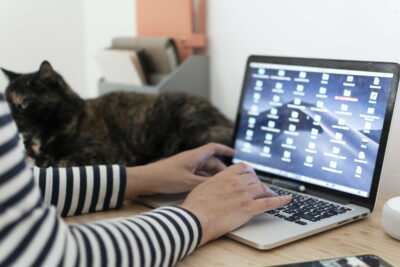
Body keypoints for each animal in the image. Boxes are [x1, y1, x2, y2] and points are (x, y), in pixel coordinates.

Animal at [1, 61, 233, 169]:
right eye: (6, 101)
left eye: (23, 103)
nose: (9, 119)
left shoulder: (101, 154)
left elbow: (63, 161)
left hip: (189, 123)